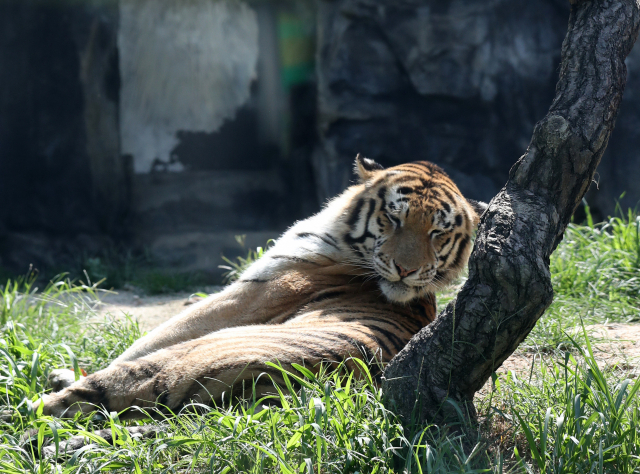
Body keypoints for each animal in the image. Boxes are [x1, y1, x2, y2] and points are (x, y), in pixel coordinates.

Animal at [37, 157, 488, 416]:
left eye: (436, 232)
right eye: (394, 218)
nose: (406, 269)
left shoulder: (245, 297)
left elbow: (146, 340)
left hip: (179, 361)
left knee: (81, 399)